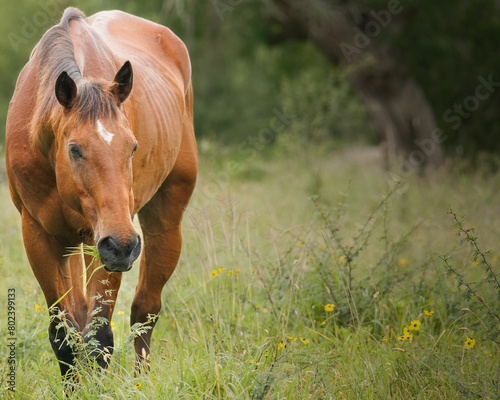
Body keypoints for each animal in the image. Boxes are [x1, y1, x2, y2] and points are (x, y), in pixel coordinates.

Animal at [6, 7, 197, 378]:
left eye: (132, 147)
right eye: (75, 149)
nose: (122, 246)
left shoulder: (108, 244)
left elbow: (99, 337)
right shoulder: (38, 235)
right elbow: (64, 335)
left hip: (161, 223)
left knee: (145, 310)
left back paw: (141, 381)